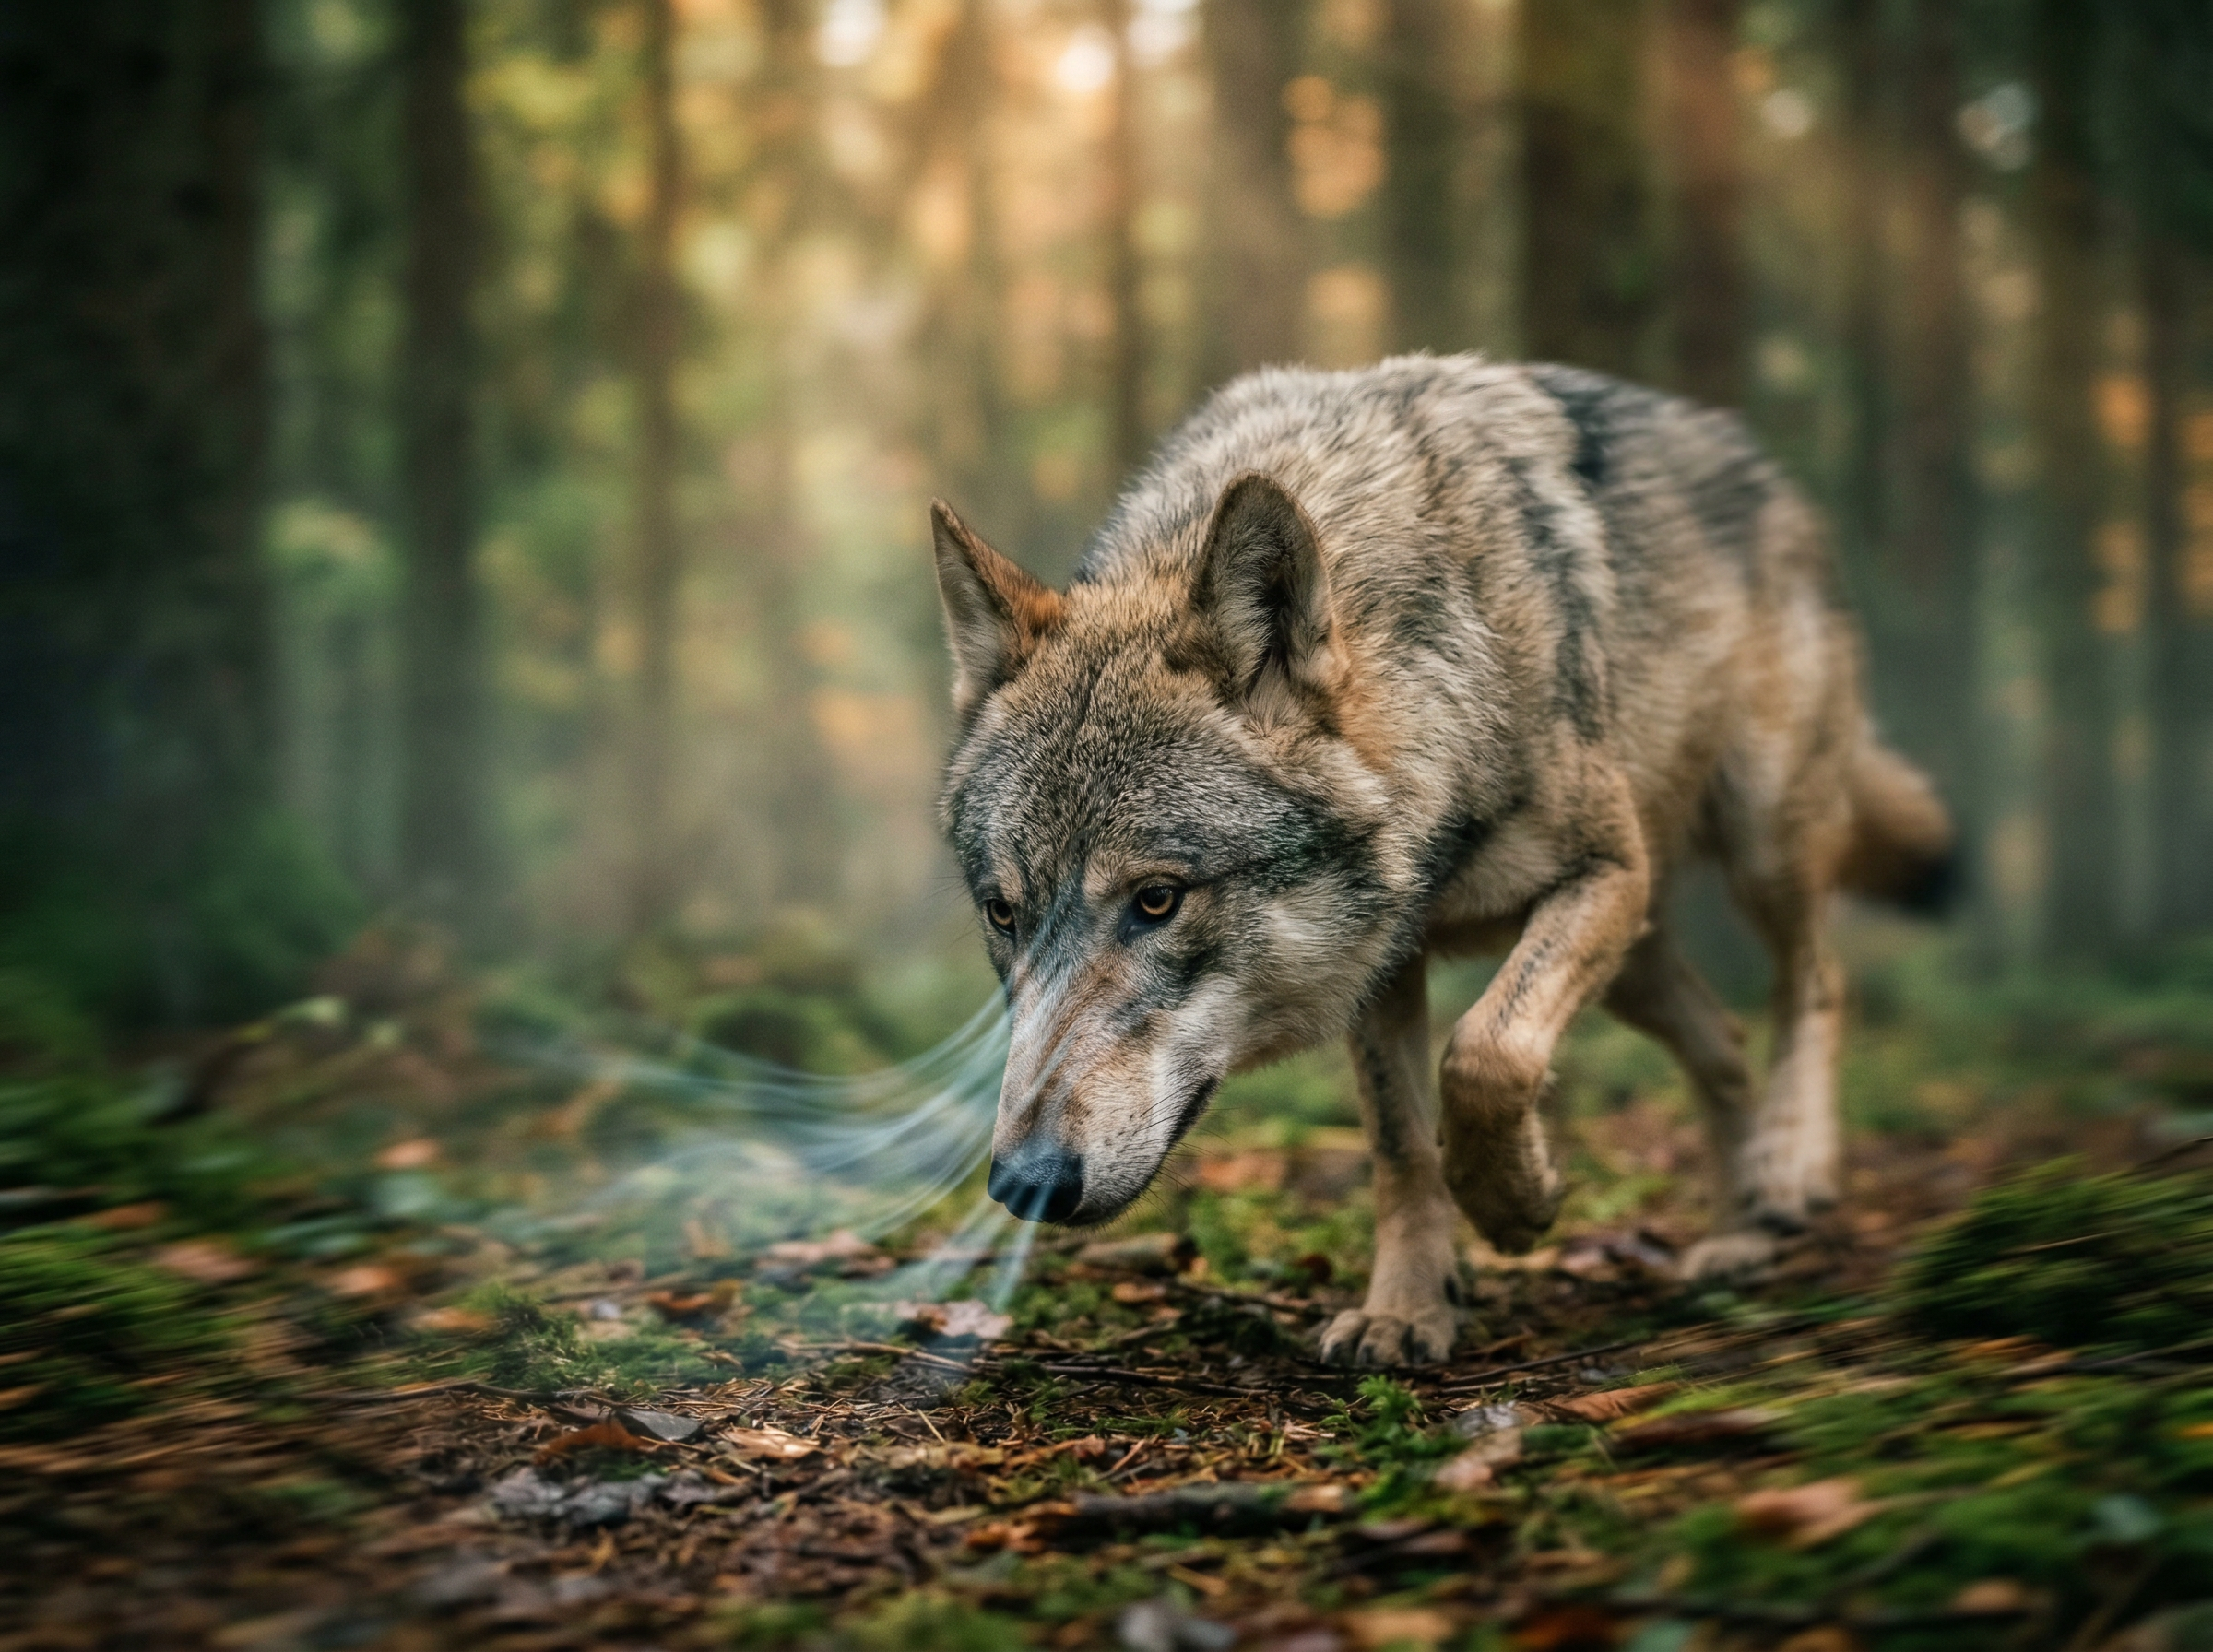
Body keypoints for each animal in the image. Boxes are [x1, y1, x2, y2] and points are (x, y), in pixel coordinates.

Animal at [929, 354, 1952, 1367]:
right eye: (1003, 913)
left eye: (1156, 899)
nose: (1024, 1182)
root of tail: (1766, 468)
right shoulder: (1381, 961)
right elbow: (1401, 1143)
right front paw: (1407, 1308)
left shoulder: (1604, 871)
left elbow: (1487, 1053)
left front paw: (1516, 1205)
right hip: (1640, 958)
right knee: (1725, 1043)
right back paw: (1742, 1228)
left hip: (1757, 844)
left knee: (1815, 982)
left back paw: (1790, 1170)